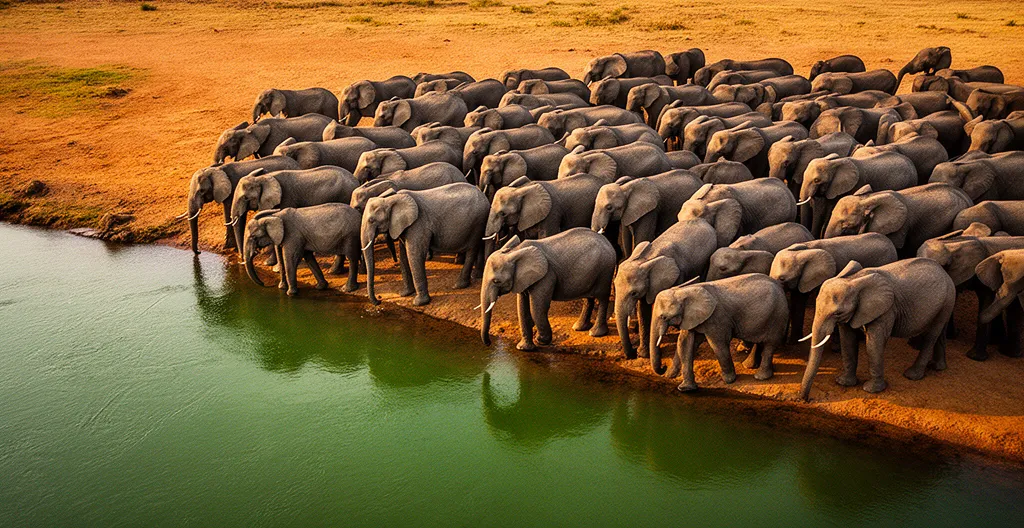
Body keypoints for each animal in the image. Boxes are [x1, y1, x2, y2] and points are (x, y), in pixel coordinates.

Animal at [228, 165, 358, 259]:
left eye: (245, 198)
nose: (241, 259)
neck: (264, 178)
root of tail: (356, 181)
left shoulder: (286, 197)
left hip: (344, 195)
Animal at [479, 229, 616, 349]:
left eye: (496, 281)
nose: (489, 343)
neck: (515, 251)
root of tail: (608, 241)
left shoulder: (547, 276)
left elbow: (537, 308)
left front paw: (540, 341)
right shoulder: (522, 278)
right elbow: (522, 308)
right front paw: (524, 348)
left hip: (605, 270)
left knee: (602, 297)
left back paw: (596, 333)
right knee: (588, 298)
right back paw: (579, 327)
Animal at [613, 219, 719, 359]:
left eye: (633, 293)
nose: (632, 354)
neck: (645, 259)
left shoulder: (678, 275)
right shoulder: (649, 285)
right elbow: (643, 309)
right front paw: (643, 354)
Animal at [650, 273, 790, 388]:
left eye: (663, 317)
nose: (663, 367)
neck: (686, 291)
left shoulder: (717, 318)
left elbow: (717, 344)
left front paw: (729, 380)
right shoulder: (692, 317)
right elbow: (685, 343)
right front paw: (683, 387)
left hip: (777, 316)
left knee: (770, 345)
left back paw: (761, 377)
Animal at [799, 258, 956, 399]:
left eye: (837, 313)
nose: (805, 399)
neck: (853, 280)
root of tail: (945, 273)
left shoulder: (886, 310)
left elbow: (874, 345)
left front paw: (871, 390)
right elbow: (847, 341)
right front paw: (843, 383)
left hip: (947, 299)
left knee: (931, 336)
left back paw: (912, 375)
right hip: (946, 303)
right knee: (940, 333)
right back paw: (937, 367)